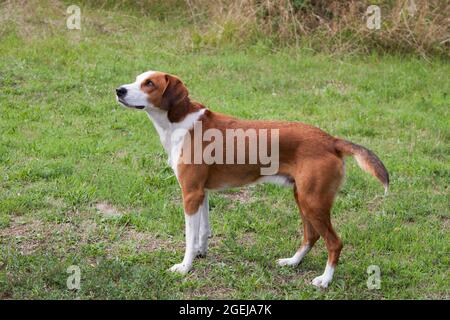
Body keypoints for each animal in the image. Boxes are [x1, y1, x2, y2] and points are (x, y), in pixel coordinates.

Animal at [118, 70, 388, 288]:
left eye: (149, 83)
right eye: (137, 78)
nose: (118, 90)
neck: (180, 121)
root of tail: (331, 140)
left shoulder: (190, 193)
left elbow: (188, 237)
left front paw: (185, 267)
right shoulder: (201, 193)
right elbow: (203, 231)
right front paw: (200, 253)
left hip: (313, 202)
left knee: (334, 243)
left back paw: (325, 280)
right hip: (303, 198)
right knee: (311, 236)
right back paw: (293, 262)